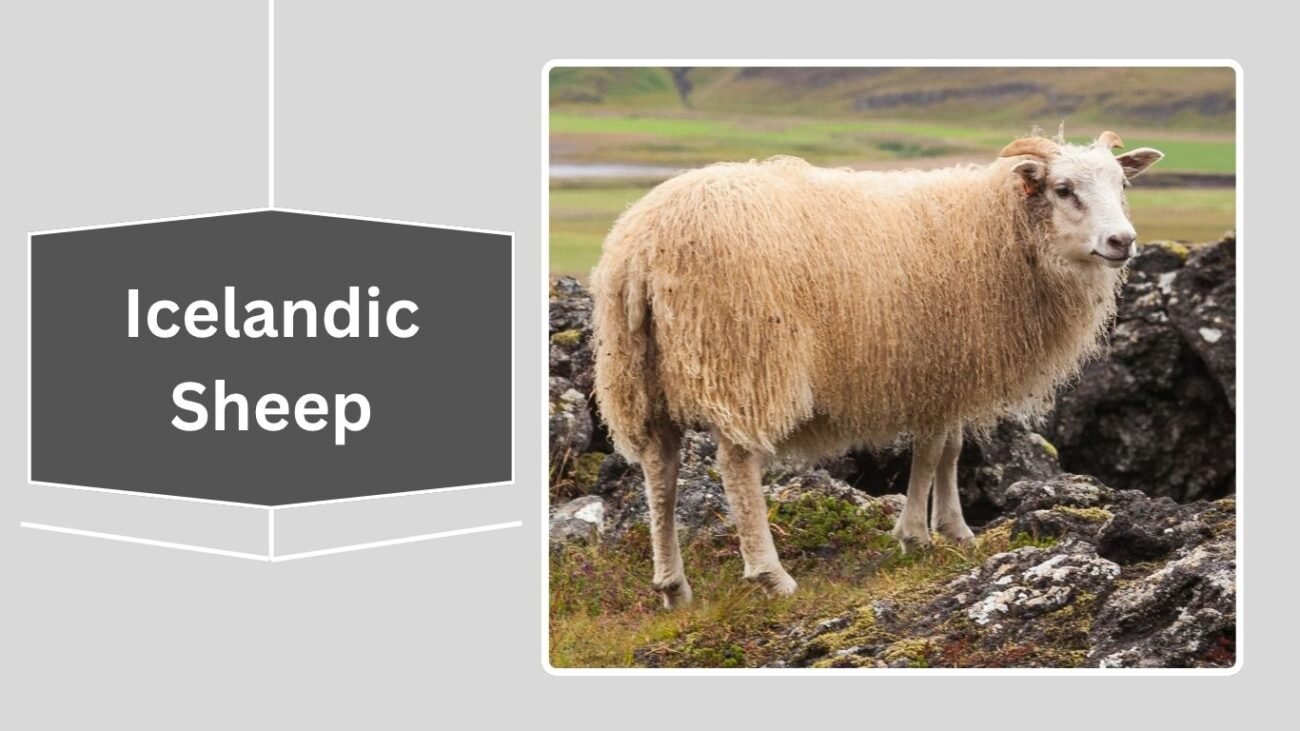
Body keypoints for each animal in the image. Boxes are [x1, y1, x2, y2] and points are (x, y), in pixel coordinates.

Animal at [590, 132, 1164, 608]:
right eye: (1064, 189)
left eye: (1121, 184)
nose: (1123, 241)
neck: (995, 227)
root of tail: (643, 246)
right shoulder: (935, 364)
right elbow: (931, 452)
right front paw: (916, 535)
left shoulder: (950, 370)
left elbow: (951, 450)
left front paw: (955, 531)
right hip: (744, 358)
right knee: (736, 466)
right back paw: (771, 575)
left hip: (639, 372)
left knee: (660, 469)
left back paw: (673, 587)